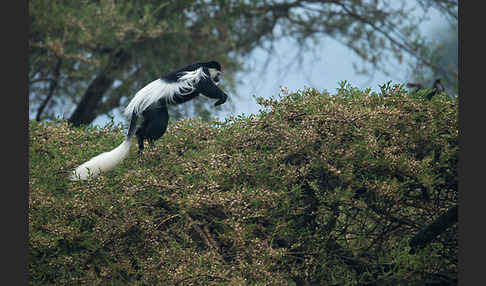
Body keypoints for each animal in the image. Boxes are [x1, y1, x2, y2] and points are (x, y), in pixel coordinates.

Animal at [70, 61, 228, 180]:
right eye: (218, 74)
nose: (218, 79)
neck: (204, 65)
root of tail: (137, 101)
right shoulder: (201, 74)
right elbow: (206, 88)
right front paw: (222, 97)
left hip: (149, 110)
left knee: (142, 129)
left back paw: (141, 146)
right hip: (154, 107)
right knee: (158, 125)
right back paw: (150, 147)